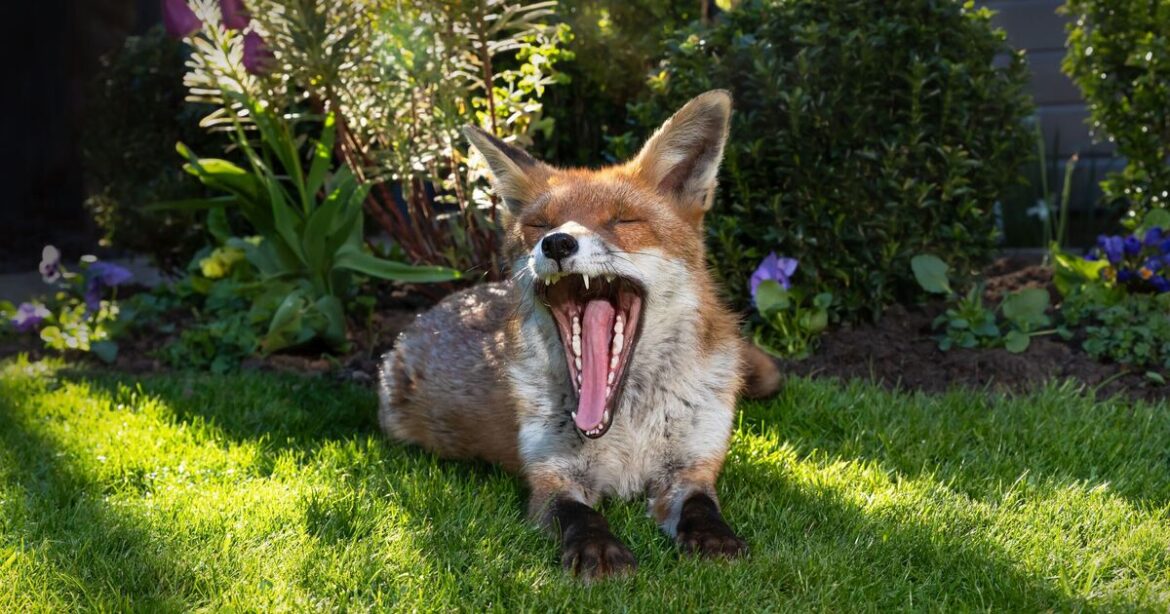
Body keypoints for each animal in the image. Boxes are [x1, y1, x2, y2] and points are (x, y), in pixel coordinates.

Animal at [377, 90, 781, 580]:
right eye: (538, 225)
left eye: (623, 221)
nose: (555, 243)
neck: (628, 426)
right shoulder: (550, 476)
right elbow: (580, 514)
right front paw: (598, 550)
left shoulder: (691, 467)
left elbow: (702, 507)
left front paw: (715, 539)